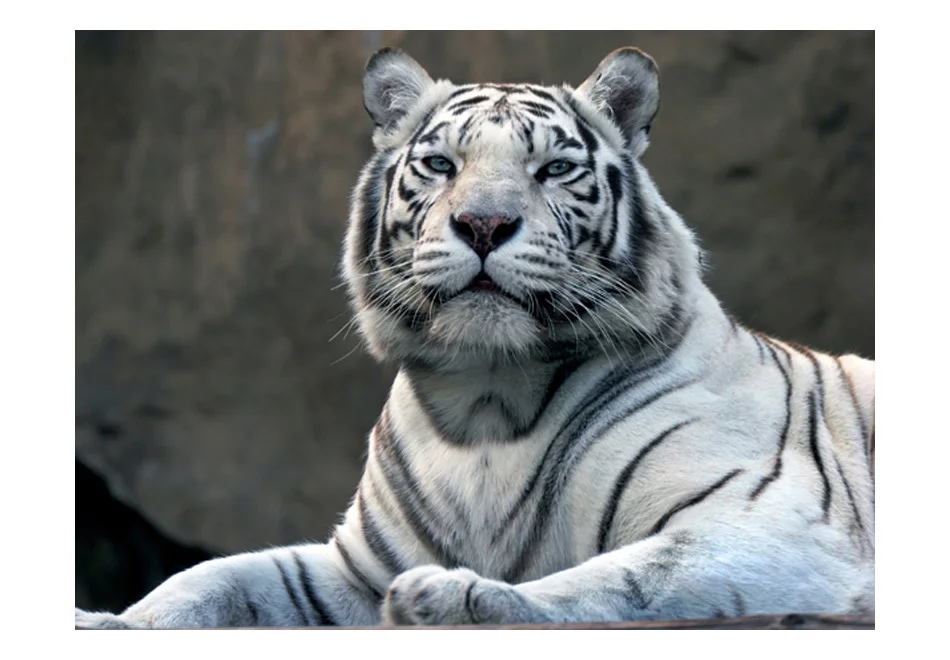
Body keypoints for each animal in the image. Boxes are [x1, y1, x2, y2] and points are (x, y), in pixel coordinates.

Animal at [75, 46, 874, 629]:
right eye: (440, 164)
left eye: (554, 169)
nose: (484, 224)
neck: (486, 400)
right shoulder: (354, 569)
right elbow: (215, 576)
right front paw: (112, 622)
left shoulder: (769, 525)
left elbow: (620, 580)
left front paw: (456, 598)